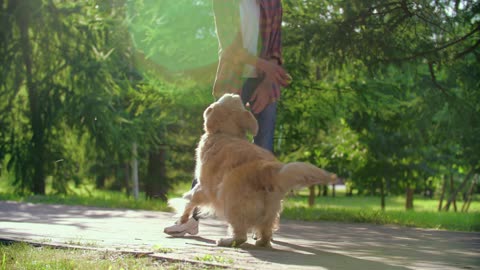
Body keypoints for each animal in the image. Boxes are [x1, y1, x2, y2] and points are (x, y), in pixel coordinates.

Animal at [174, 94, 336, 248]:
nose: (239, 94)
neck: (226, 133)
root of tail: (266, 170)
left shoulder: (205, 186)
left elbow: (191, 199)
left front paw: (182, 217)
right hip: (271, 210)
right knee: (265, 233)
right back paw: (261, 241)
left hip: (230, 201)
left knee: (240, 235)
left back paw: (225, 241)